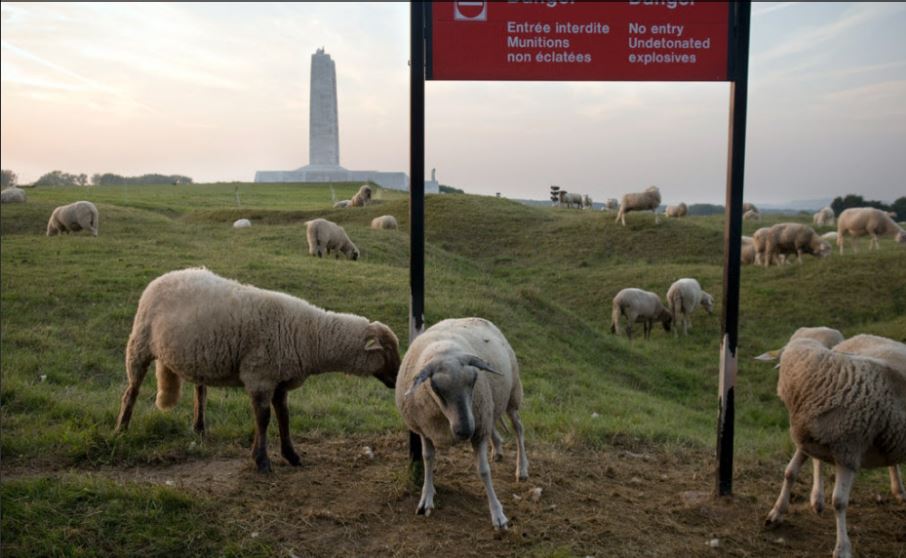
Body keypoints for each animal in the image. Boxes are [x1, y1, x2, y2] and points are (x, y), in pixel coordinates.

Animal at [114, 270, 400, 474]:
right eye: (386, 351)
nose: (398, 380)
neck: (309, 335)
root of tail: (165, 276)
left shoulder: (280, 381)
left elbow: (284, 417)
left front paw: (291, 455)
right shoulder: (259, 376)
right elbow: (263, 419)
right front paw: (261, 460)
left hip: (198, 356)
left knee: (200, 391)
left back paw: (199, 428)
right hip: (139, 344)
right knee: (131, 391)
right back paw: (121, 429)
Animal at [394, 318, 528, 532]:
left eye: (474, 380)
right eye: (436, 387)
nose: (465, 430)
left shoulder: (479, 429)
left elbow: (483, 471)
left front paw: (498, 514)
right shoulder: (425, 430)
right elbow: (427, 459)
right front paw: (427, 497)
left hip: (512, 395)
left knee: (518, 429)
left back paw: (522, 468)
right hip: (490, 407)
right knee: (495, 426)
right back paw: (498, 449)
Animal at [764, 332, 904, 558]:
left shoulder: (848, 452)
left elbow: (838, 502)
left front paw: (842, 548)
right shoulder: (807, 439)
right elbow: (790, 472)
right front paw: (777, 512)